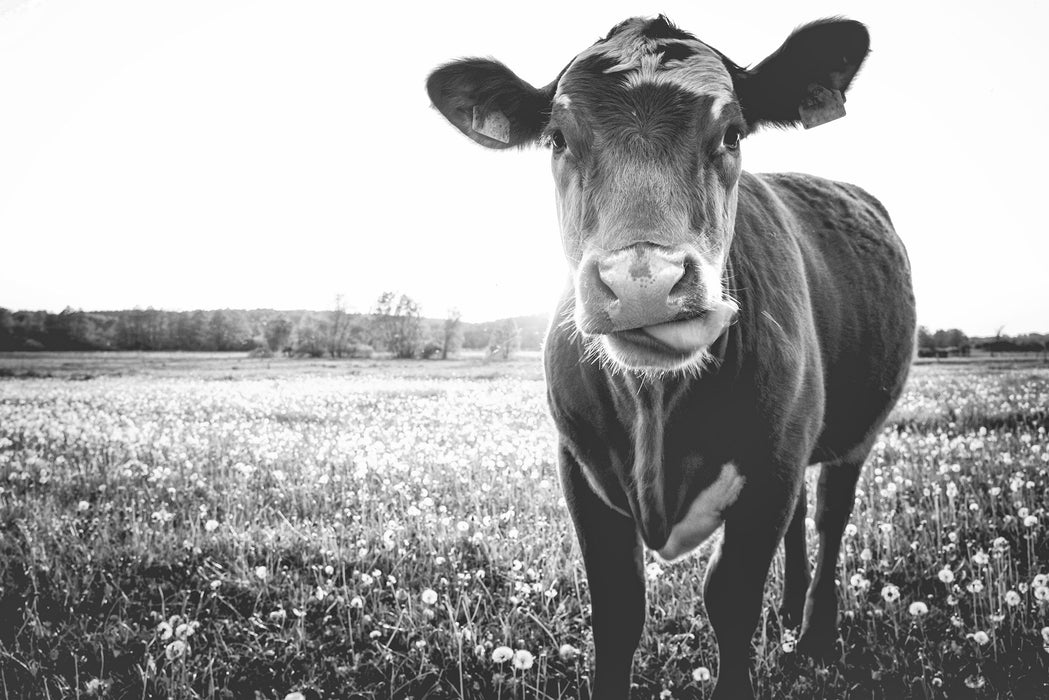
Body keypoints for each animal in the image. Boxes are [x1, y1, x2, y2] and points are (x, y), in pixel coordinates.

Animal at [423, 16, 910, 700]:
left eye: (732, 132)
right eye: (557, 138)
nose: (642, 282)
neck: (656, 409)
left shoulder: (772, 466)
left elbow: (731, 599)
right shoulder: (581, 468)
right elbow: (618, 608)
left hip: (851, 436)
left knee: (829, 520)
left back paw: (814, 635)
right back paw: (790, 612)